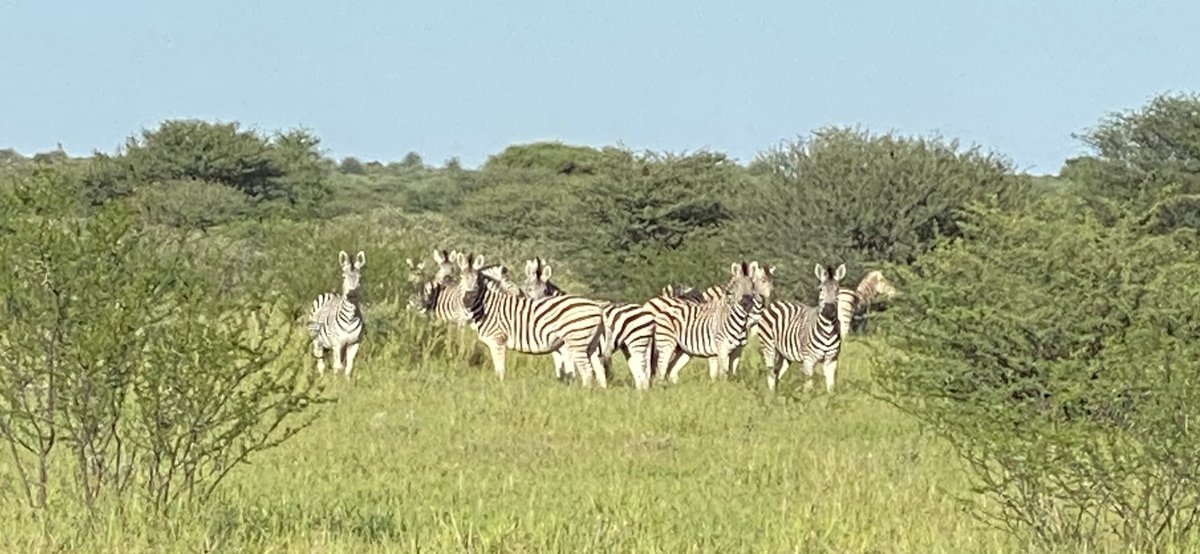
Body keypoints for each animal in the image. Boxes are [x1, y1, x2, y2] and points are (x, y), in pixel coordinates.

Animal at [456, 250, 614, 386]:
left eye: (477, 280)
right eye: (461, 278)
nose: (467, 299)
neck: (488, 305)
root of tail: (598, 308)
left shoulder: (498, 340)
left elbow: (500, 371)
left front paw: (499, 388)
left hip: (577, 342)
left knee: (587, 371)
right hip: (590, 344)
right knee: (599, 371)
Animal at [520, 259, 657, 390]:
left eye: (545, 291)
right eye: (528, 289)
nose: (537, 308)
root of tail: (646, 311)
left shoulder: (569, 350)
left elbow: (571, 372)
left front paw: (572, 390)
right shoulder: (557, 353)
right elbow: (561, 374)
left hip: (637, 341)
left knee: (643, 369)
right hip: (627, 346)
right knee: (637, 368)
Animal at [758, 263, 844, 393]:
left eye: (837, 290)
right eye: (821, 289)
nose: (829, 310)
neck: (828, 330)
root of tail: (775, 302)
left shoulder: (832, 359)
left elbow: (831, 387)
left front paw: (830, 398)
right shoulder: (808, 359)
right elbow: (808, 386)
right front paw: (807, 398)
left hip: (785, 355)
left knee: (777, 373)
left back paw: (777, 396)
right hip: (768, 347)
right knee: (771, 373)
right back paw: (771, 395)